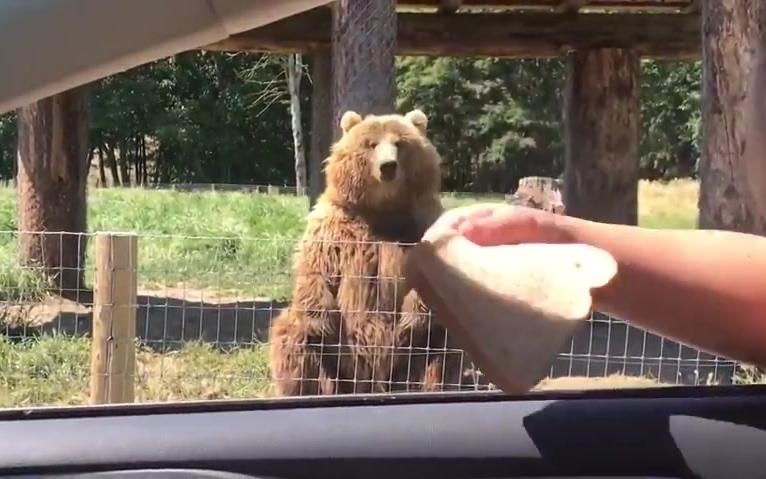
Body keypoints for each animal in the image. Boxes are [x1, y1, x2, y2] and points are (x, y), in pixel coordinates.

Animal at [270, 109, 486, 398]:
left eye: (399, 143)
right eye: (371, 144)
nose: (388, 166)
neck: (382, 210)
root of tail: (372, 384)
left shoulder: (425, 224)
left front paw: (410, 319)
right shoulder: (334, 226)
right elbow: (317, 268)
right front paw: (322, 323)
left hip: (412, 360)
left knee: (443, 346)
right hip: (338, 362)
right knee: (295, 338)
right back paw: (305, 389)